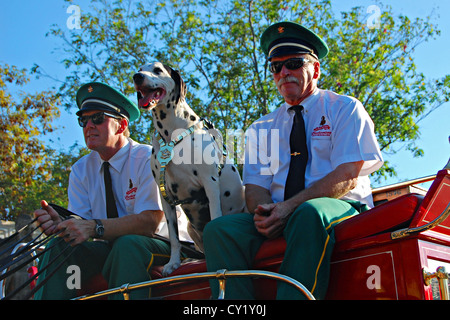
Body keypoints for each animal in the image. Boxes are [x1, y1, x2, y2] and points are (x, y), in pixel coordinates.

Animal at [133, 62, 246, 276]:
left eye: (157, 70)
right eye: (140, 69)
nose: (137, 76)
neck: (171, 134)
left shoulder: (210, 183)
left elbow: (215, 219)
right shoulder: (166, 197)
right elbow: (174, 238)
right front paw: (173, 263)